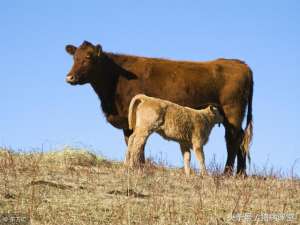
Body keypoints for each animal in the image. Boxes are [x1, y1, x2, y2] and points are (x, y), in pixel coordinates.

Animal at [65, 40, 253, 176]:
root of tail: (241, 64)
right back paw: (241, 174)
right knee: (241, 139)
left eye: (89, 57)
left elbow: (137, 143)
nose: (70, 77)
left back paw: (228, 173)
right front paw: (138, 165)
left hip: (232, 113)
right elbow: (132, 141)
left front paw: (138, 166)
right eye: (74, 57)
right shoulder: (129, 122)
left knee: (233, 139)